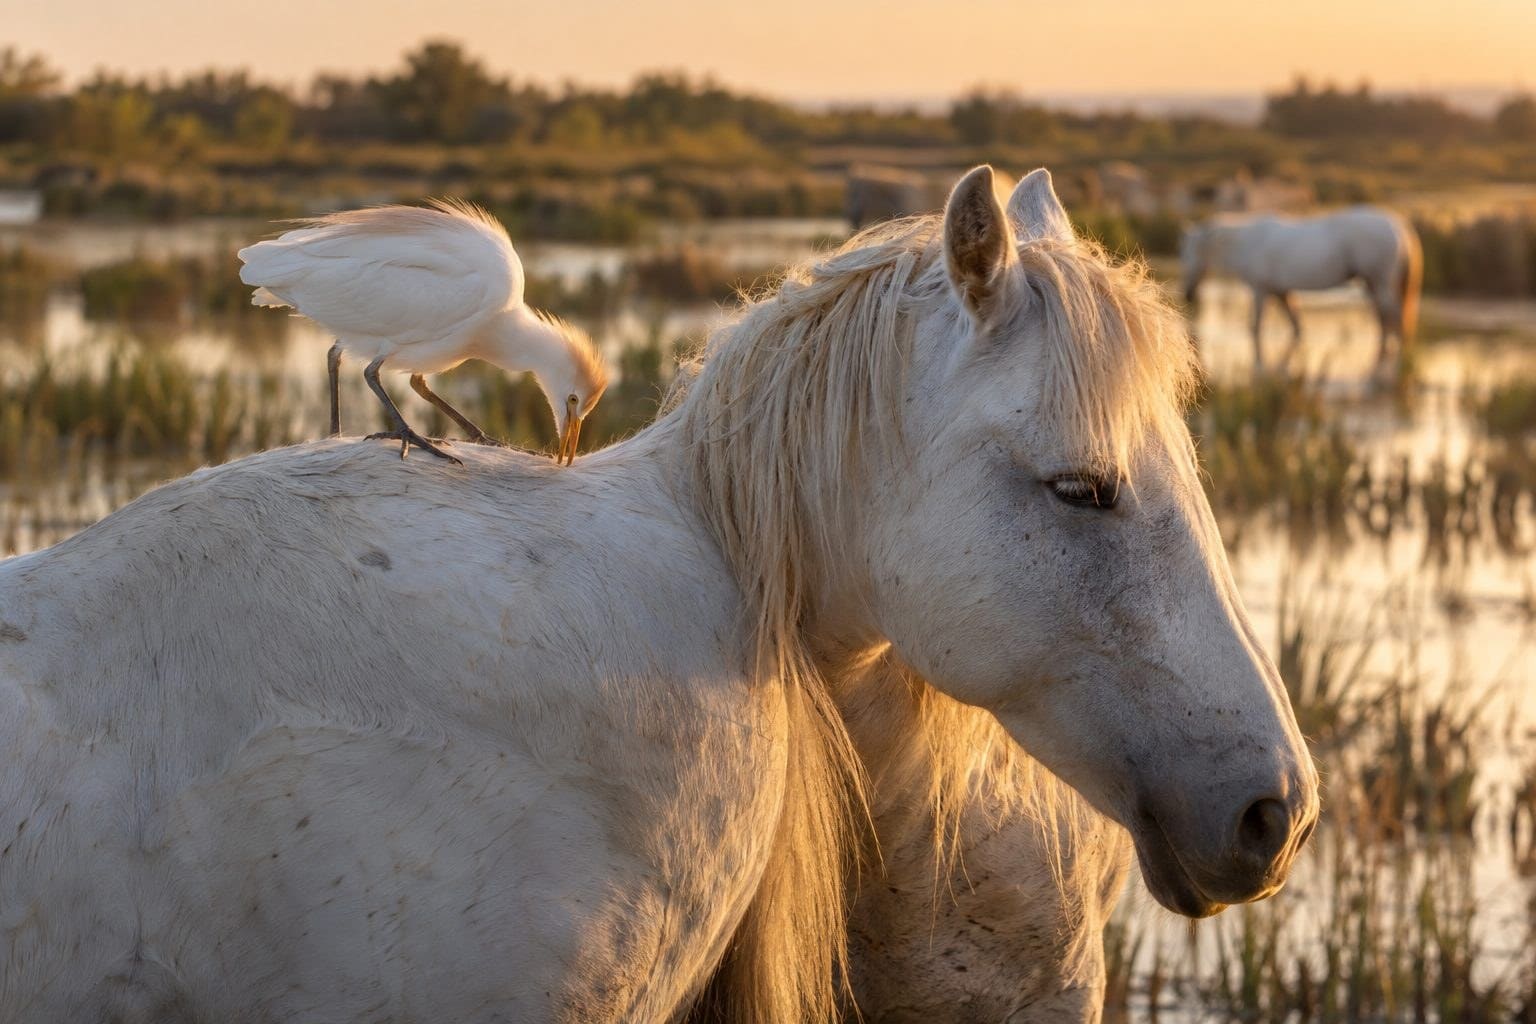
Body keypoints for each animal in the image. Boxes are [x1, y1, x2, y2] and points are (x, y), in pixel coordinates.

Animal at [1180, 206, 1422, 376]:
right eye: (1184, 252)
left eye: (1193, 251)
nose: (1188, 294)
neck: (1248, 243)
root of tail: (1398, 226)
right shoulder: (1281, 292)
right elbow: (1296, 327)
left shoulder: (1260, 290)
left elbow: (1256, 328)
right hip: (1371, 283)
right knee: (1383, 317)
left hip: (1380, 282)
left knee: (1394, 316)